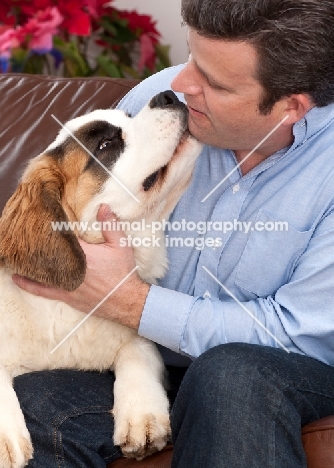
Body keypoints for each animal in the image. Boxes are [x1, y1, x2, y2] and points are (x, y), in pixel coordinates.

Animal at [0, 91, 202, 468]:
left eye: (128, 117)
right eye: (107, 145)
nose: (167, 95)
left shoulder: (135, 333)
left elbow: (139, 351)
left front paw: (141, 414)